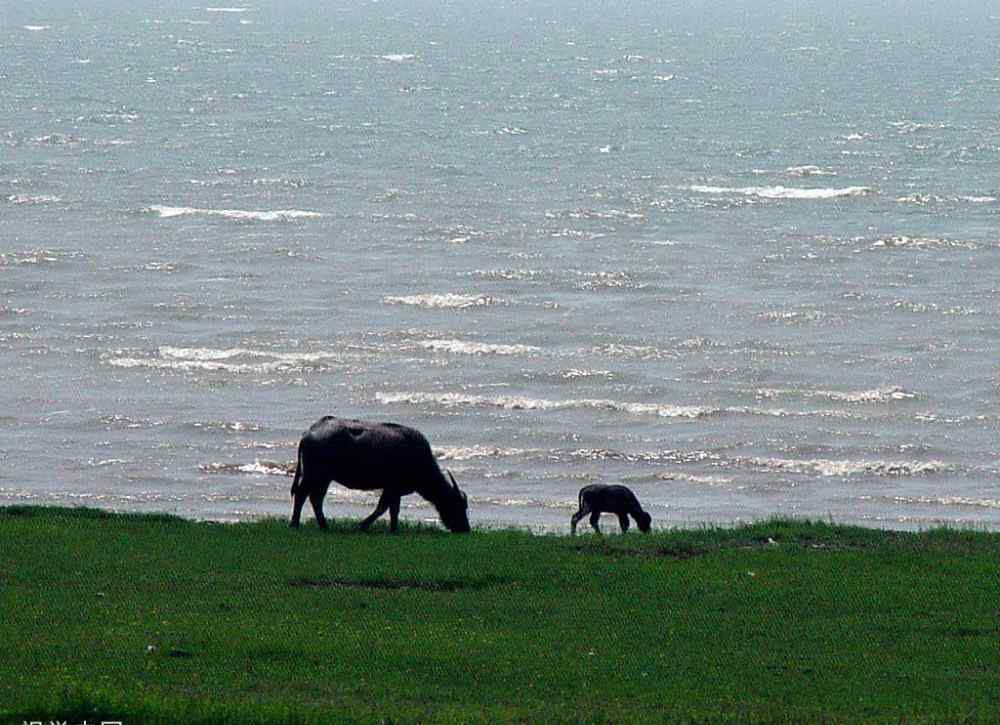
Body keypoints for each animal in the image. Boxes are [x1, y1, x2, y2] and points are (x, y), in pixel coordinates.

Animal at [292, 418, 470, 532]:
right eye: (457, 505)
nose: (465, 528)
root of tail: (309, 433)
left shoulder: (393, 490)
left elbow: (390, 509)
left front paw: (392, 528)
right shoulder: (393, 488)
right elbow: (384, 508)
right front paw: (365, 526)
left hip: (324, 479)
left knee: (316, 499)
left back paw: (324, 525)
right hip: (314, 476)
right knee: (302, 495)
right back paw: (295, 524)